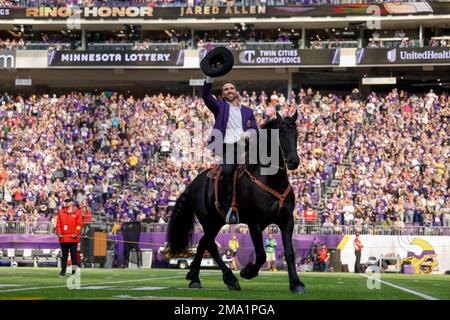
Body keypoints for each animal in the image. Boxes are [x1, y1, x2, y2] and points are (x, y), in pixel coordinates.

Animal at [168, 112, 306, 292]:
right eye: (281, 133)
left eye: (296, 134)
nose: (293, 161)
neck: (271, 179)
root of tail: (193, 184)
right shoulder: (255, 223)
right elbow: (261, 254)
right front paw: (247, 272)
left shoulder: (287, 220)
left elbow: (289, 252)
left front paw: (296, 283)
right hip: (209, 221)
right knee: (210, 245)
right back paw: (230, 279)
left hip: (217, 222)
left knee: (204, 243)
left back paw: (194, 277)